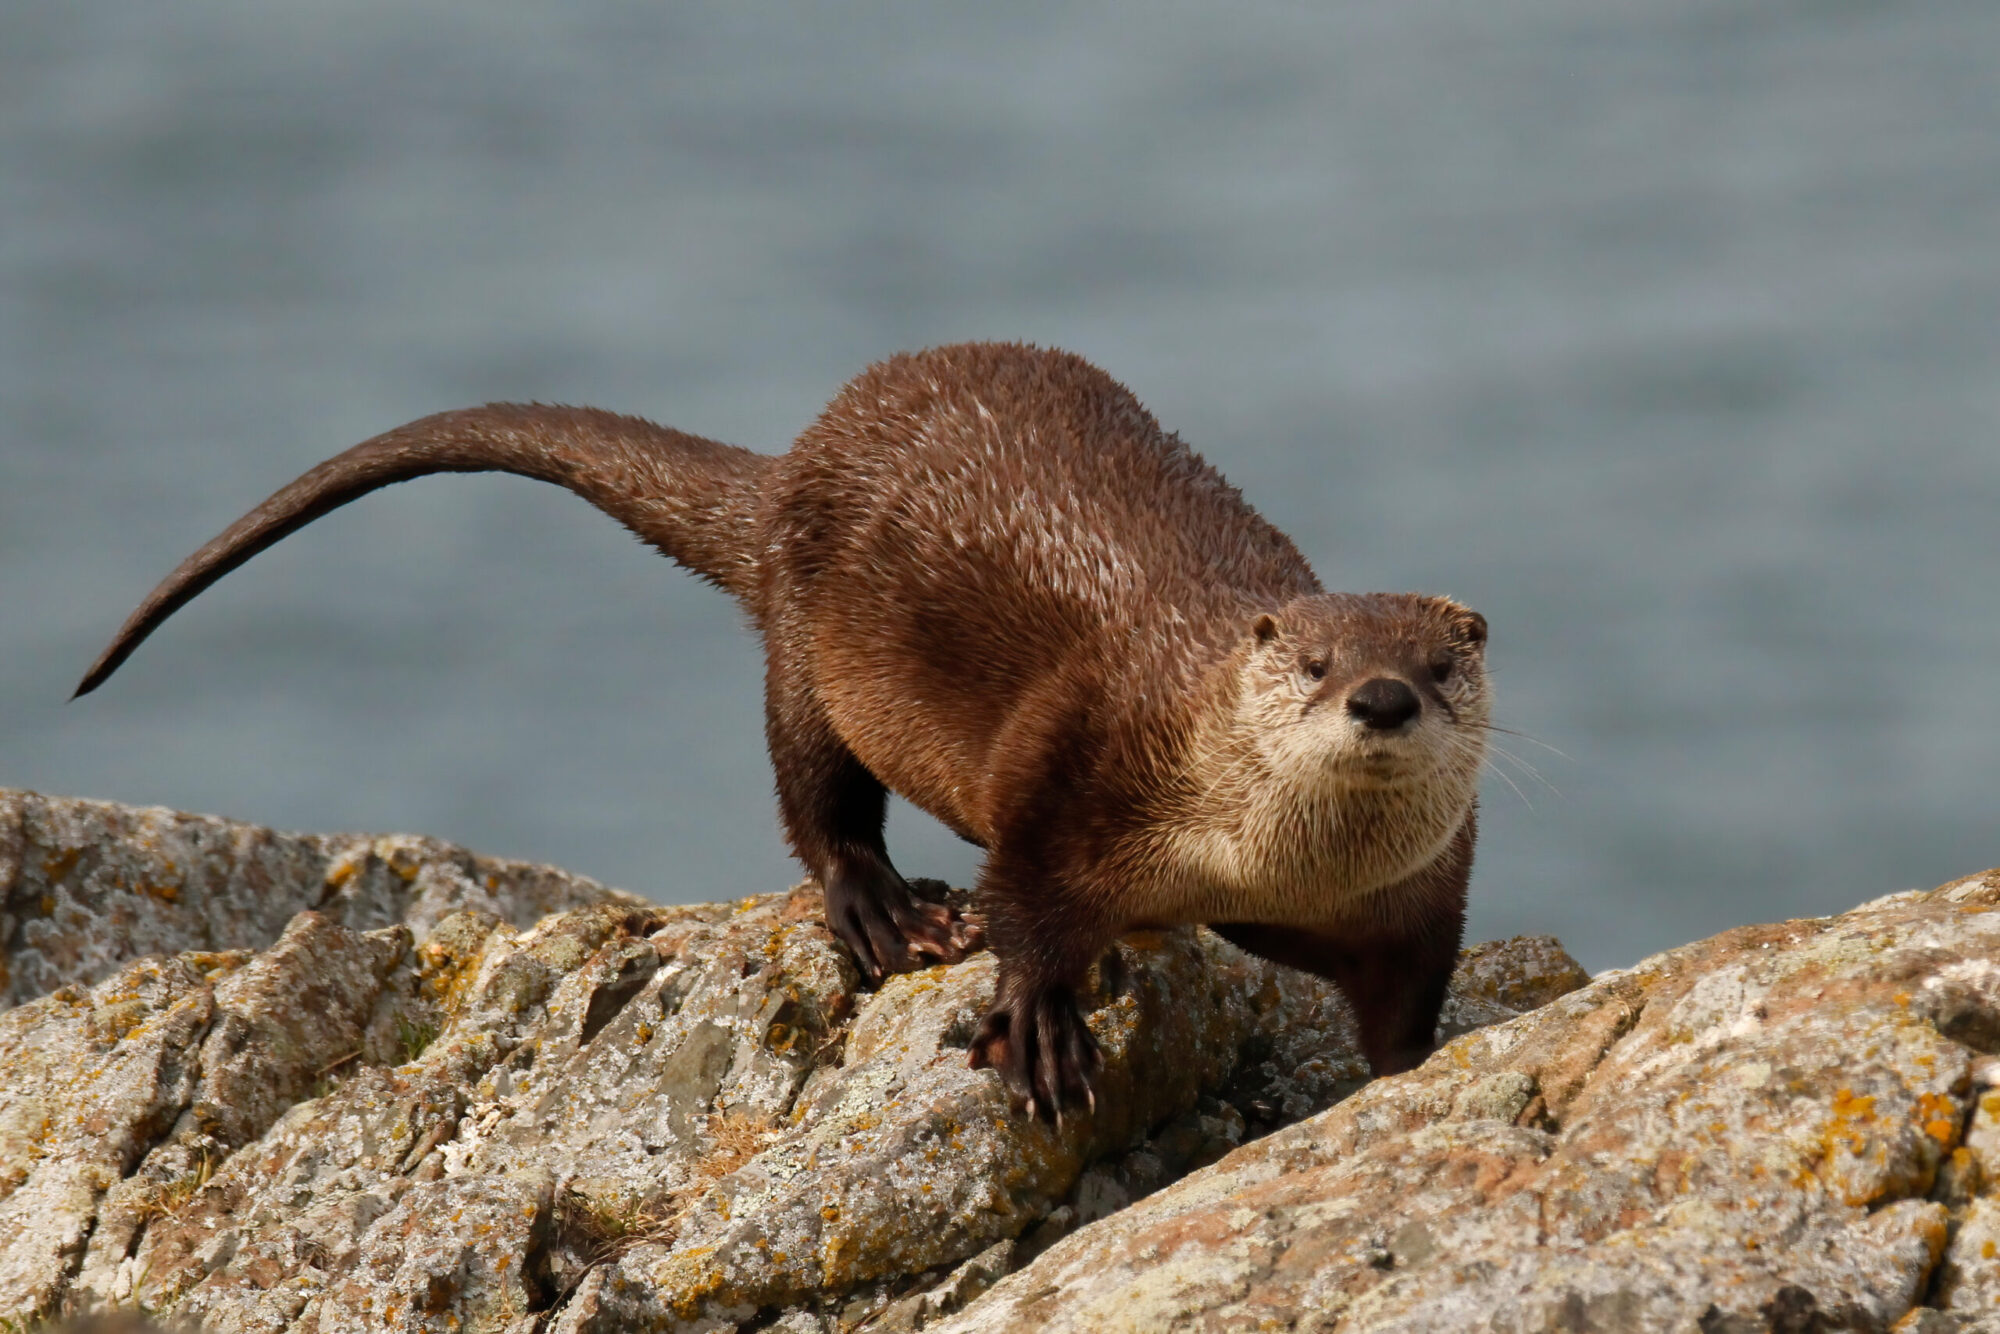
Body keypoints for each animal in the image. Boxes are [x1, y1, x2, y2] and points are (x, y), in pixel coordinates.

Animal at [76, 343, 1490, 1119]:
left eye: (1435, 662)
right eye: (1312, 661)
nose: (1379, 697)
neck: (1259, 864)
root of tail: (786, 470)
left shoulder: (1415, 894)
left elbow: (1405, 1001)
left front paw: (1411, 1072)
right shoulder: (1072, 760)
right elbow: (1025, 901)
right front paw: (1037, 1026)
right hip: (809, 647)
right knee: (814, 799)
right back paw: (885, 908)